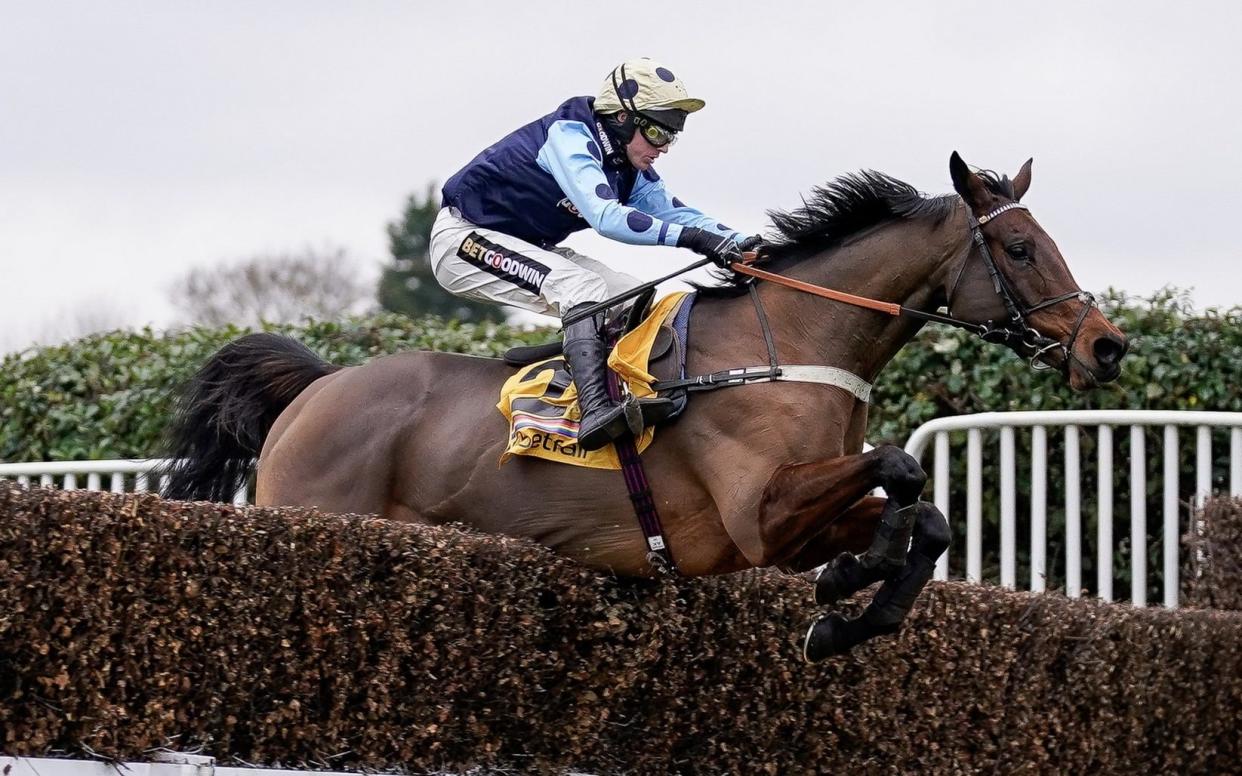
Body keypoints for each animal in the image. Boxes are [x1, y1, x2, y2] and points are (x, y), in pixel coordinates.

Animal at [162, 152, 1127, 660]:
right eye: (1018, 247)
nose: (1106, 346)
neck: (789, 344)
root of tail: (316, 390)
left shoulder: (791, 524)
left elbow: (926, 521)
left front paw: (851, 608)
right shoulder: (757, 517)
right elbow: (901, 466)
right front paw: (851, 584)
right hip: (315, 517)